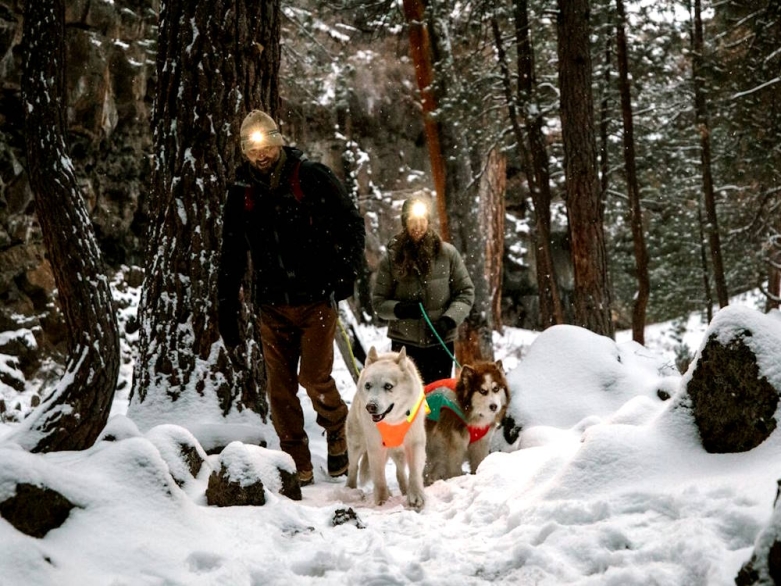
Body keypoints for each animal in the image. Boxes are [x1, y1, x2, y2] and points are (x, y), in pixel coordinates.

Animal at [346, 346, 426, 506]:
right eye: (368, 385)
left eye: (388, 386)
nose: (370, 407)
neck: (393, 420)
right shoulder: (375, 447)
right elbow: (379, 478)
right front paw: (382, 501)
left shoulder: (415, 443)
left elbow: (414, 472)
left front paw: (415, 495)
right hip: (356, 444)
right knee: (353, 467)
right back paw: (350, 490)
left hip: (399, 452)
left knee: (400, 472)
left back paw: (405, 489)